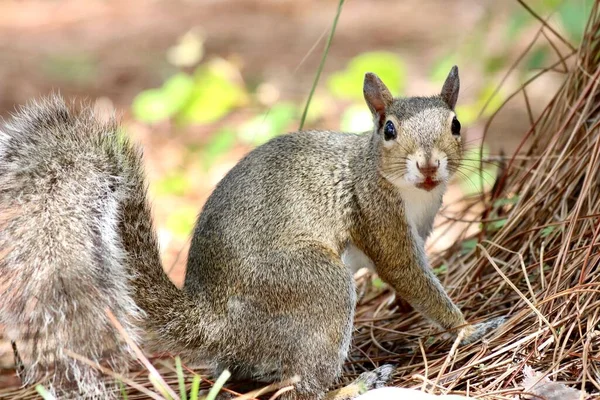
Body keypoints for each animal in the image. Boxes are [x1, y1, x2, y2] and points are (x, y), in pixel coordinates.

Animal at [1, 67, 502, 398]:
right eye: (390, 130)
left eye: (456, 124)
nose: (430, 166)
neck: (408, 190)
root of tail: (216, 323)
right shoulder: (376, 213)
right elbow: (407, 274)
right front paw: (468, 328)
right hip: (315, 284)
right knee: (302, 386)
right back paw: (354, 385)